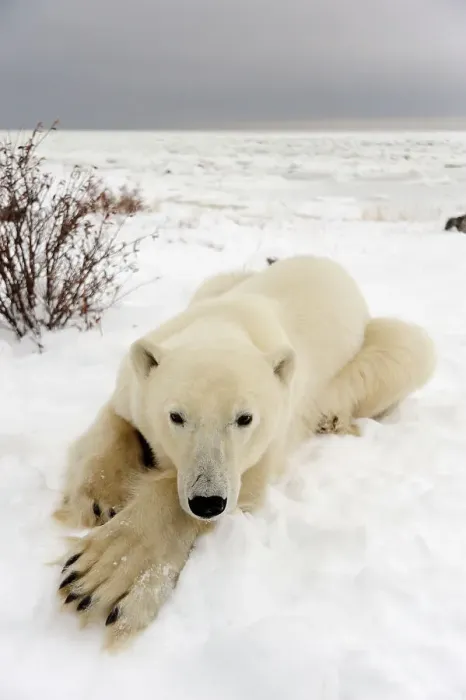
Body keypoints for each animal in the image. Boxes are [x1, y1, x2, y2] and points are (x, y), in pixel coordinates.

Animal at [55, 255, 436, 648]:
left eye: (244, 418)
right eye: (176, 416)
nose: (207, 501)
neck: (223, 325)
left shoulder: (274, 428)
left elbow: (240, 484)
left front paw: (101, 575)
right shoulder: (135, 385)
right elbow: (117, 419)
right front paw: (99, 500)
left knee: (406, 348)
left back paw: (333, 418)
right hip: (219, 282)